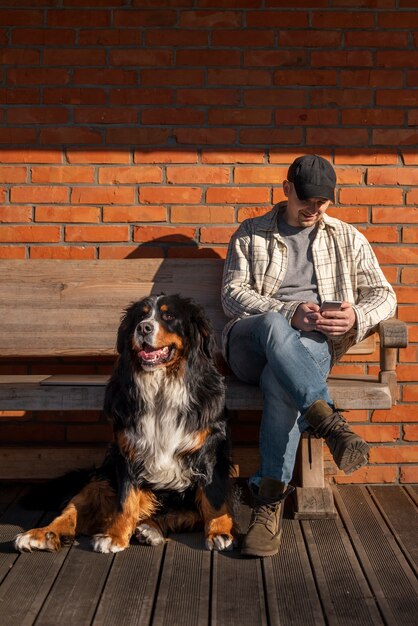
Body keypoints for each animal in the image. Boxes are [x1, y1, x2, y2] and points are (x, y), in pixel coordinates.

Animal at [14, 292, 237, 552]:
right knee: (72, 511)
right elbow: (126, 501)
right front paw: (115, 536)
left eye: (169, 316)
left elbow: (214, 499)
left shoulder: (210, 450)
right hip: (101, 479)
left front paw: (219, 532)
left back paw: (150, 530)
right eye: (140, 317)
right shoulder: (129, 450)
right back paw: (41, 535)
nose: (144, 328)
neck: (162, 387)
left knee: (183, 514)